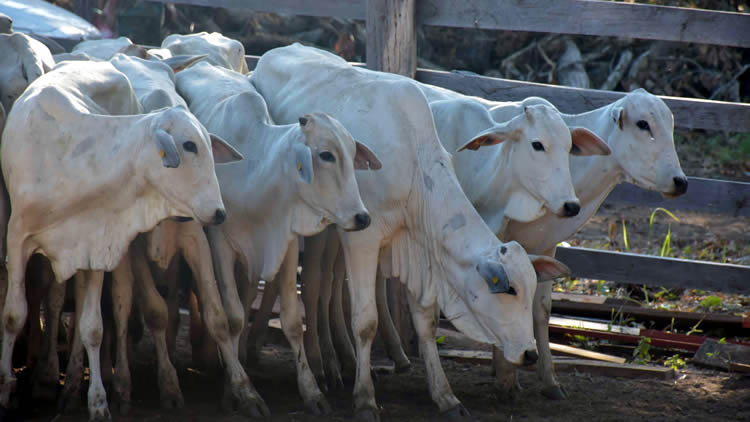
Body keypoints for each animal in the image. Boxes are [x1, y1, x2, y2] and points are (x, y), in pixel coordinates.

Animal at [0, 61, 238, 420]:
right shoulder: (16, 240)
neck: (74, 163)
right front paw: (5, 389)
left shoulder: (97, 244)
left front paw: (98, 401)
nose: (220, 212)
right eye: (189, 145)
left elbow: (93, 328)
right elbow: (14, 316)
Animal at [177, 61, 382, 418]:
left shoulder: (284, 244)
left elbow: (291, 320)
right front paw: (242, 393)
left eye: (352, 153)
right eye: (326, 155)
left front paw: (312, 392)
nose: (362, 217)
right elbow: (232, 317)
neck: (257, 174)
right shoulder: (220, 244)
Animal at [251, 42, 568, 418]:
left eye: (531, 287)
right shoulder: (362, 238)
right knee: (311, 284)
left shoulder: (419, 248)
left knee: (320, 282)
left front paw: (445, 396)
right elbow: (365, 321)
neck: (414, 165)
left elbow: (426, 322)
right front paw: (365, 399)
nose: (529, 353)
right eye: (510, 290)